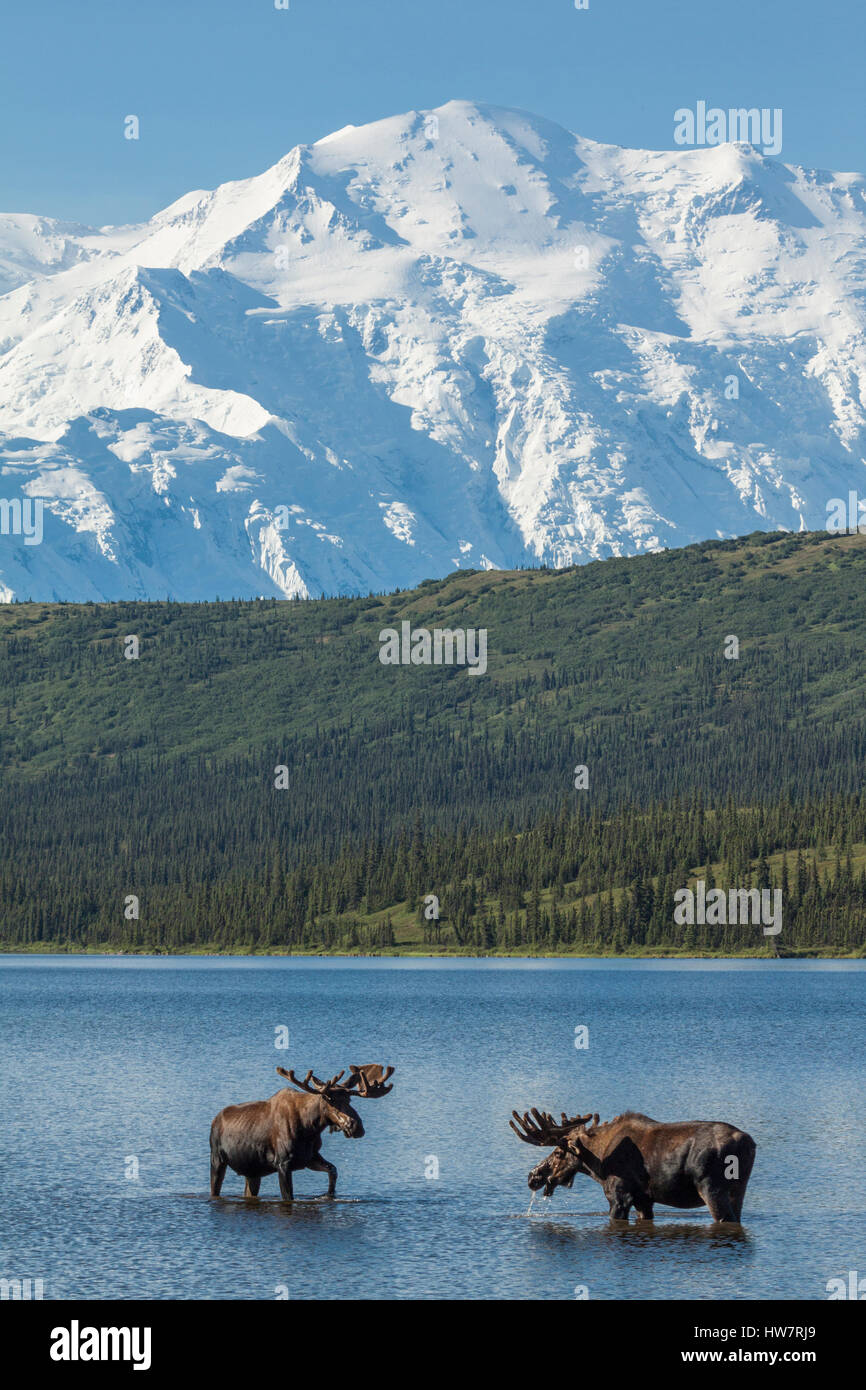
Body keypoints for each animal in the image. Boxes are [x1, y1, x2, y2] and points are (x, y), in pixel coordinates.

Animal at [211, 1056, 394, 1200]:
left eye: (349, 1100)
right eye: (330, 1099)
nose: (356, 1127)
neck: (310, 1129)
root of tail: (215, 1120)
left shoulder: (309, 1157)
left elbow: (333, 1171)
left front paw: (329, 1195)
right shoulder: (283, 1163)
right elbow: (288, 1196)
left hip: (253, 1172)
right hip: (217, 1159)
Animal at [511, 1100, 756, 1223]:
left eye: (558, 1153)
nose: (533, 1176)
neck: (598, 1162)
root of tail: (748, 1143)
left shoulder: (619, 1195)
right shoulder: (644, 1199)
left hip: (710, 1188)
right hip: (738, 1190)